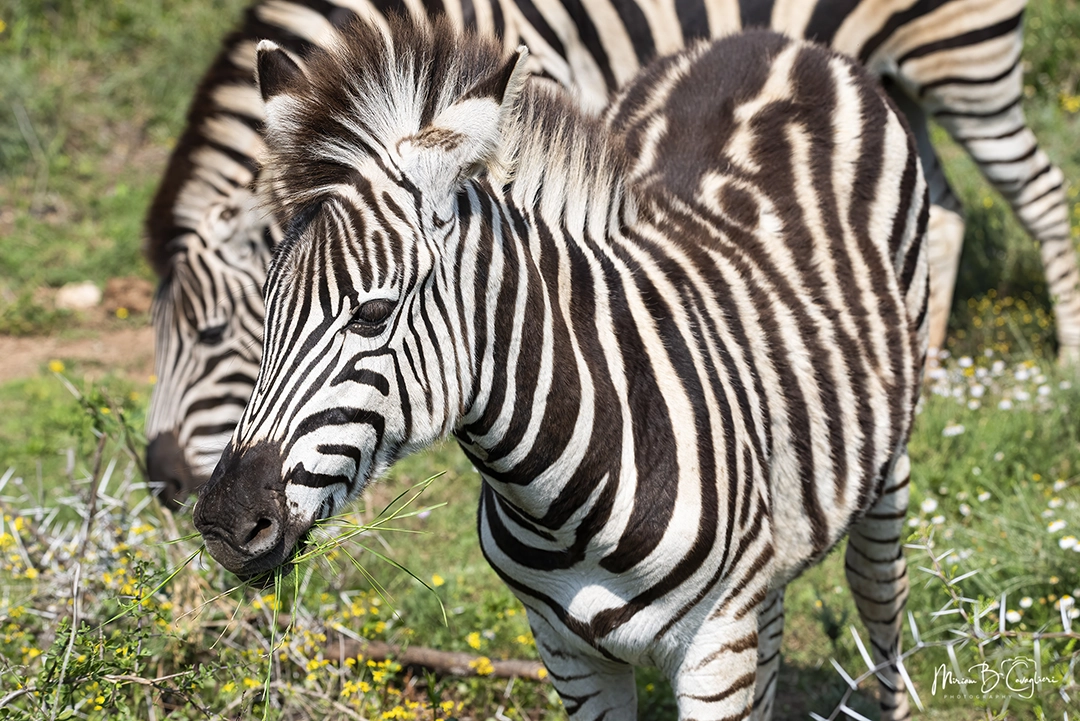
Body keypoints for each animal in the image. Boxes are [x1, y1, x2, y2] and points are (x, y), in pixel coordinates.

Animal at [145, 0, 1078, 508]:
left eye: (214, 335)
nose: (162, 482)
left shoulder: (526, 77)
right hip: (900, 77)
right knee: (944, 209)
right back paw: (918, 358)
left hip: (965, 59)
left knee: (1040, 189)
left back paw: (1063, 363)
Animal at [192, 17, 929, 719]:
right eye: (267, 309)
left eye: (372, 314)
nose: (225, 523)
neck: (563, 499)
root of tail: (771, 43)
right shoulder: (567, 652)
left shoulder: (715, 649)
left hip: (891, 448)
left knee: (880, 594)